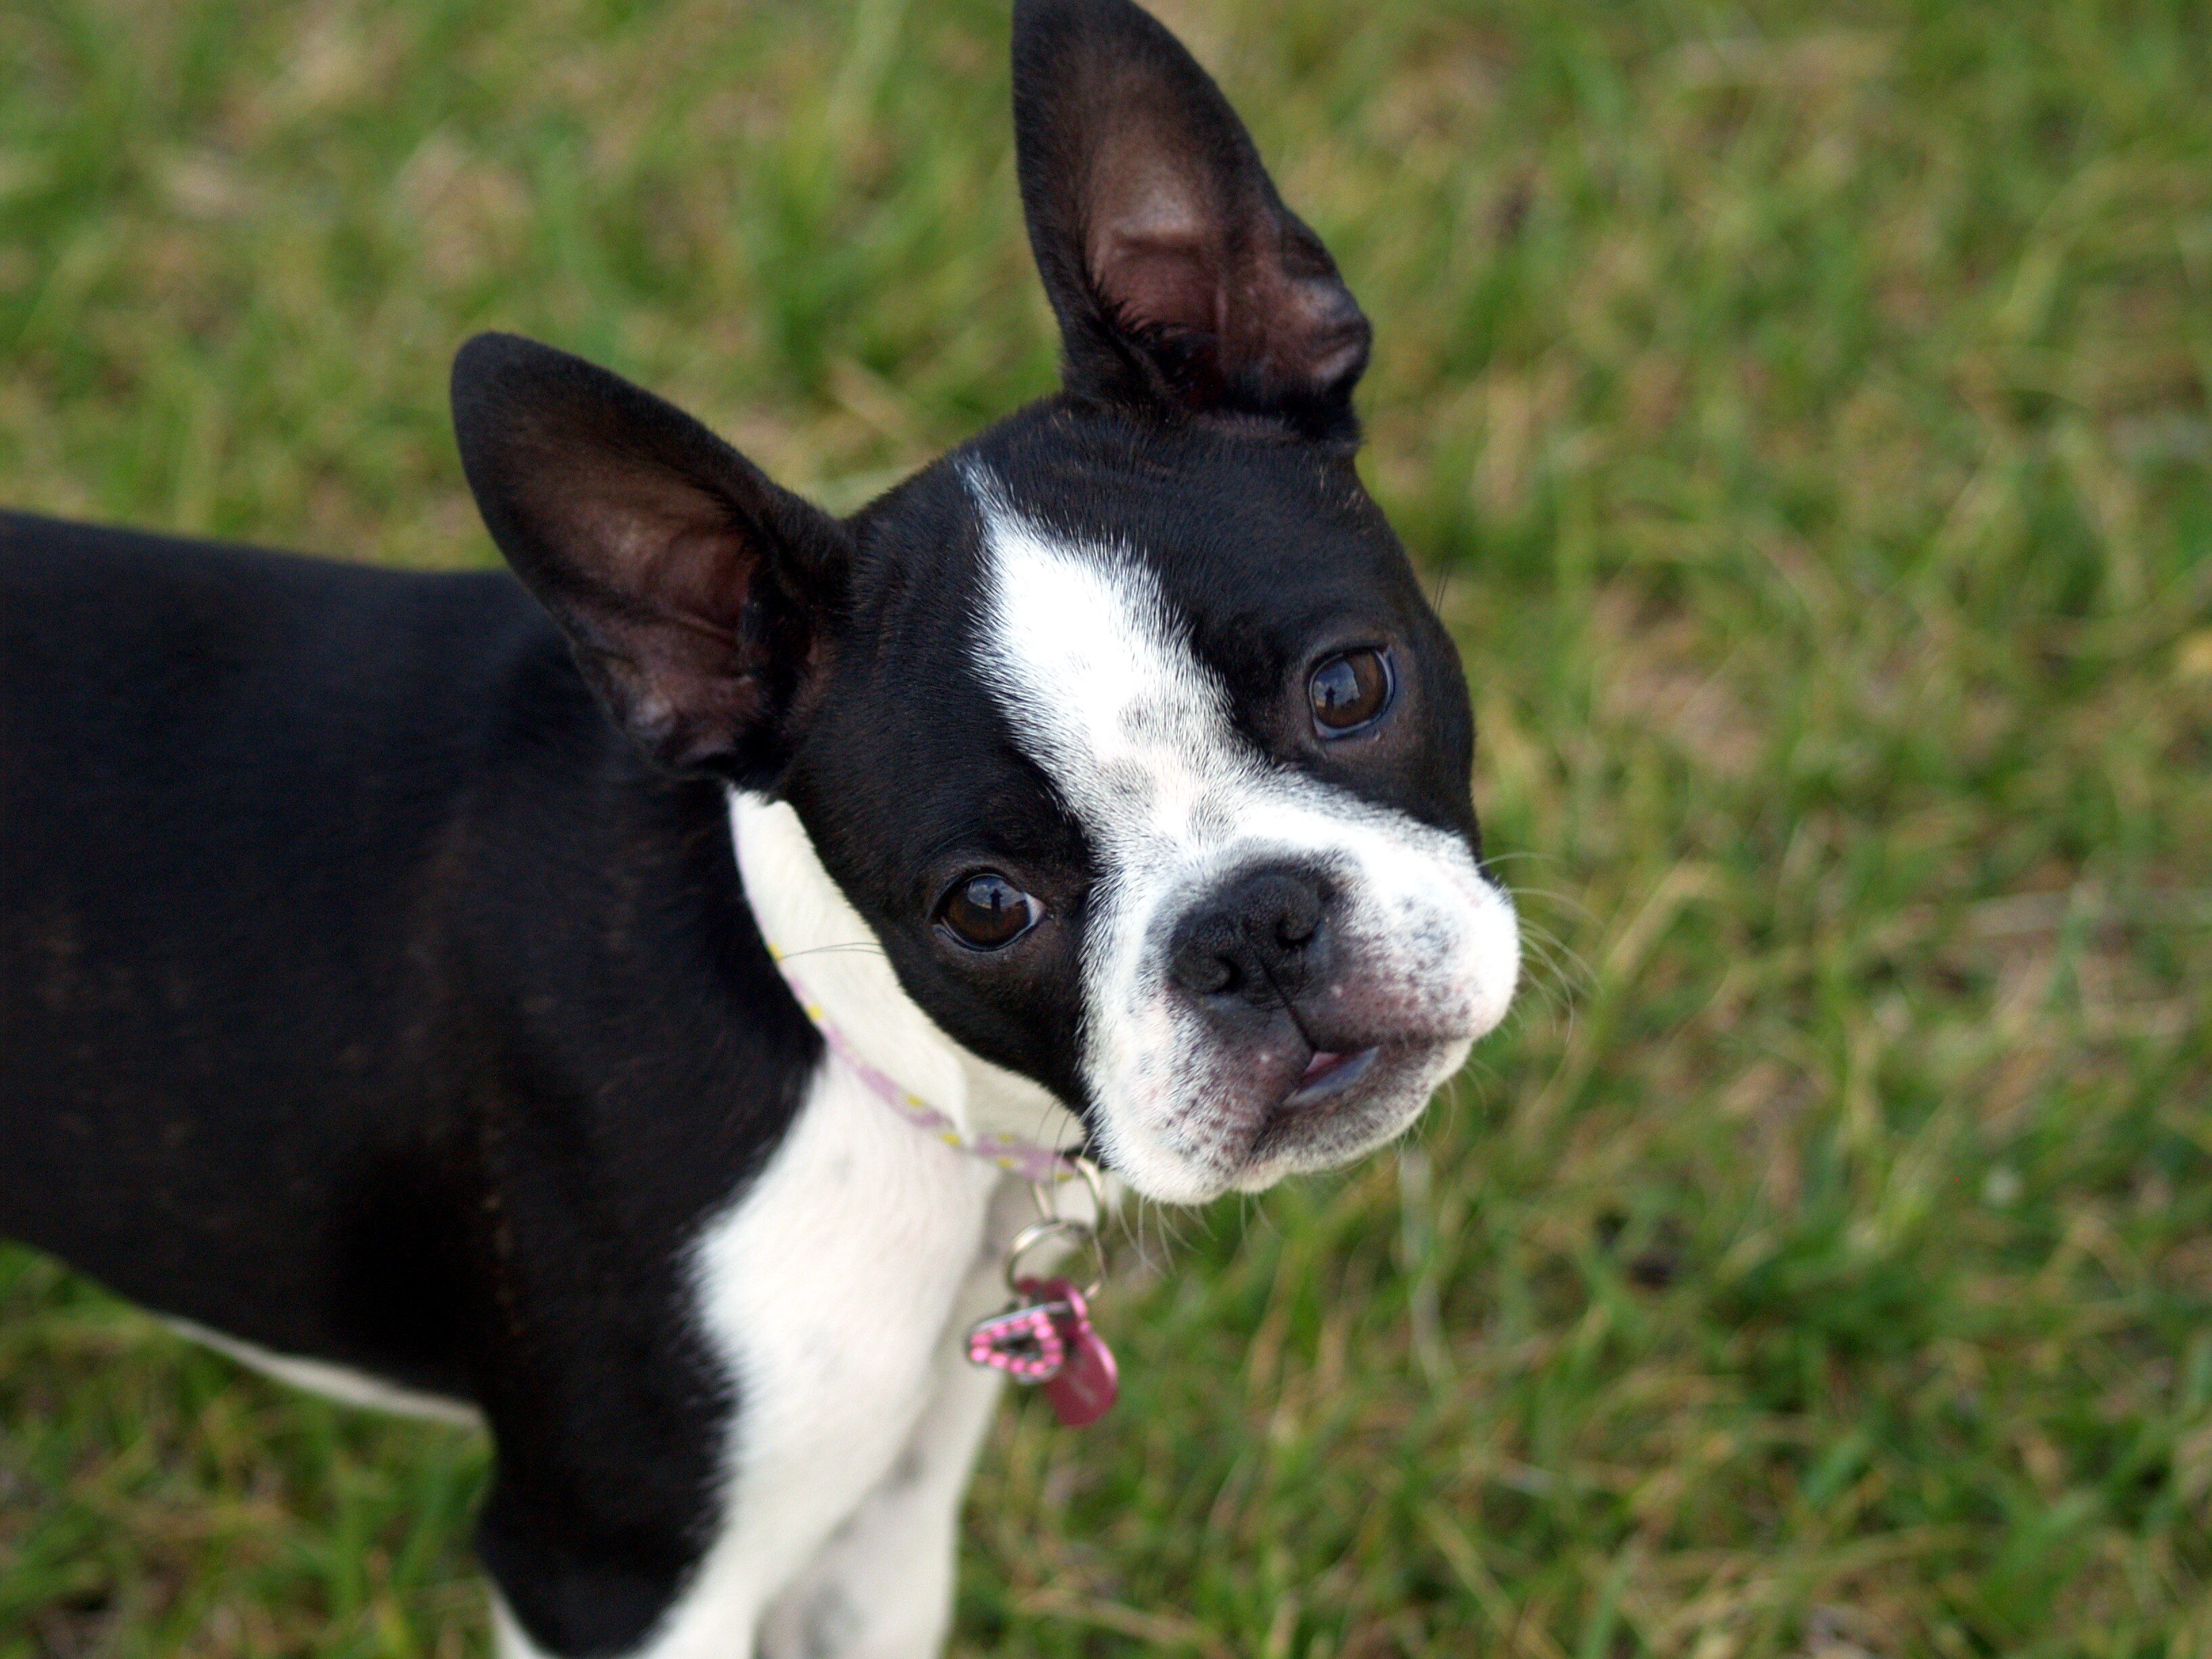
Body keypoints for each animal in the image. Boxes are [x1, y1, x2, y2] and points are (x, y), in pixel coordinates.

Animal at [0, 0, 1521, 1654]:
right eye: (984, 907)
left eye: (1350, 686)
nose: (1253, 925)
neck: (842, 1041)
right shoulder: (615, 1575)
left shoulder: (882, 1528)